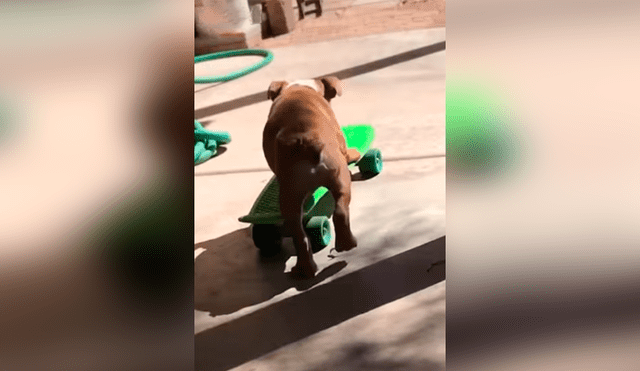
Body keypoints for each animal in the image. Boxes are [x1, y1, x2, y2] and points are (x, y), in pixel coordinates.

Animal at [262, 76, 360, 280]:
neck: (299, 87)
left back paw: (305, 269)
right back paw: (347, 244)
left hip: (291, 200)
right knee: (340, 211)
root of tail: (305, 140)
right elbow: (348, 152)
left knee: (300, 236)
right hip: (341, 178)